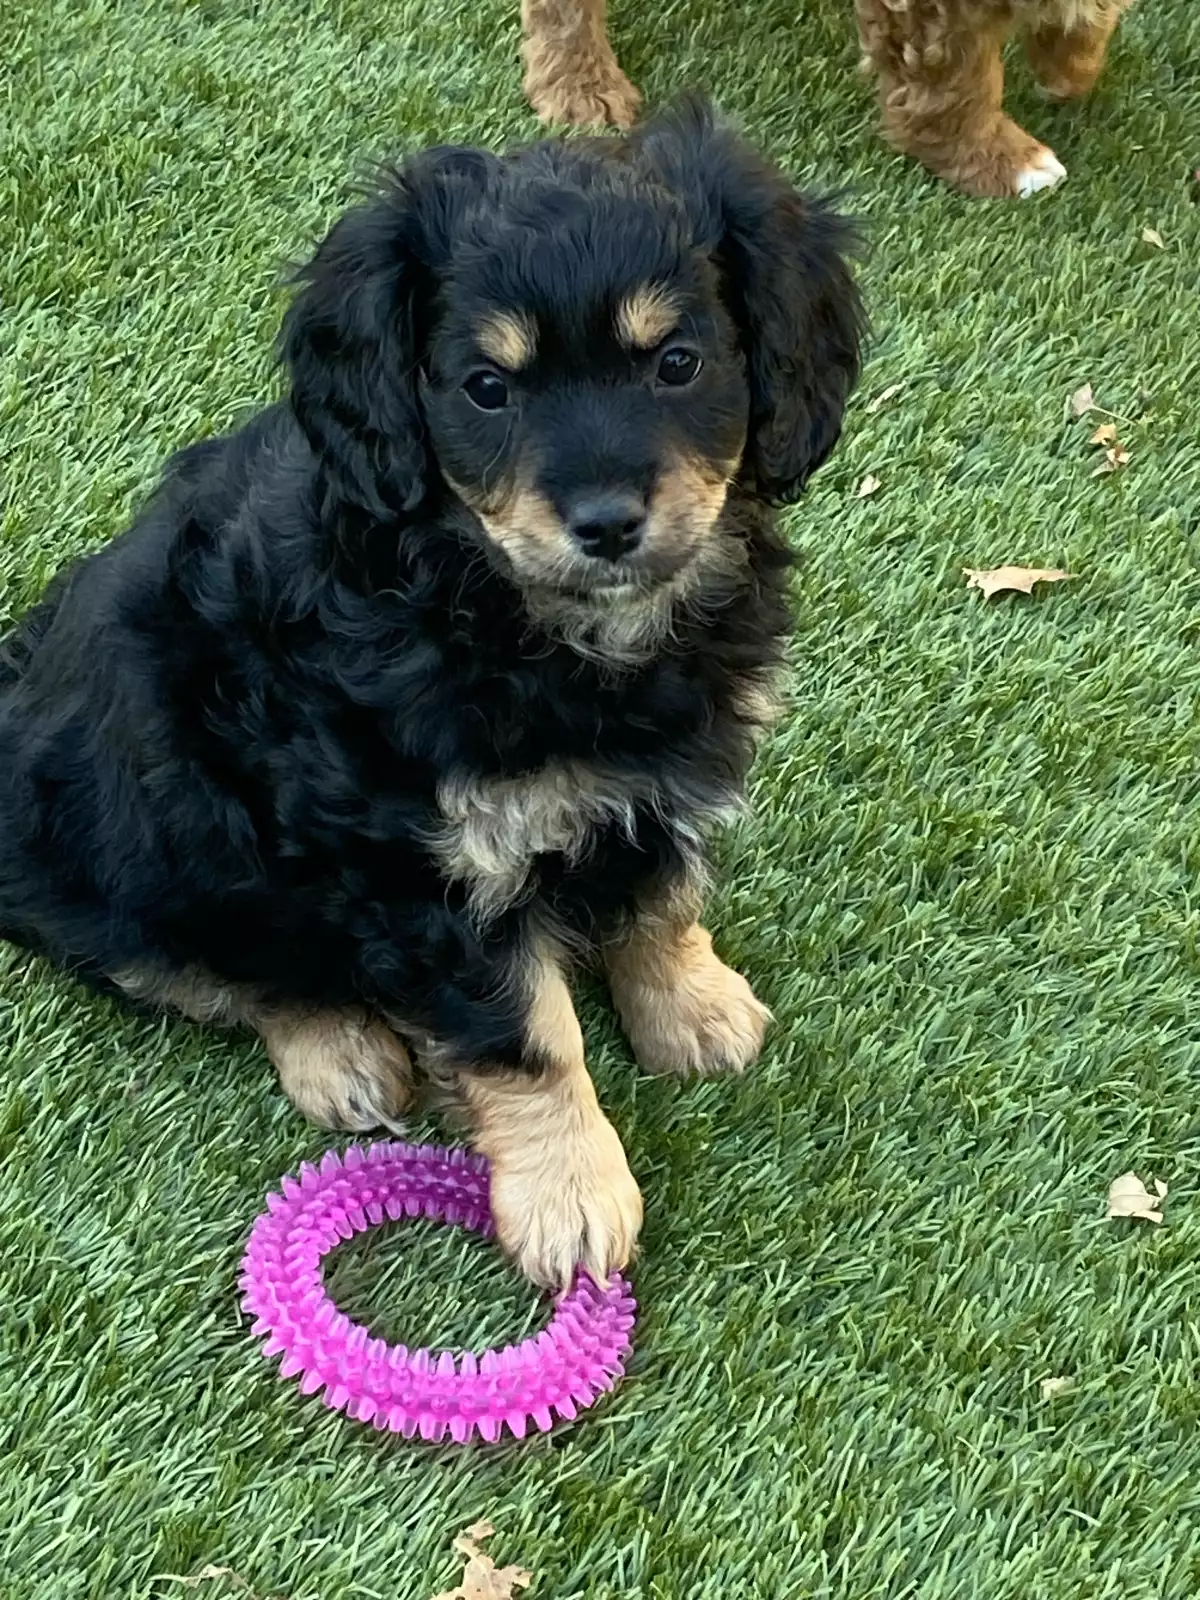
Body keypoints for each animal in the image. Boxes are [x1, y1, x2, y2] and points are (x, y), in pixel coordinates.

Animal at [0, 99, 863, 1290]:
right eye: (487, 388)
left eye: (679, 363)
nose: (607, 523)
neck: (514, 613)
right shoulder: (423, 861)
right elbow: (526, 1035)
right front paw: (571, 1195)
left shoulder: (674, 767)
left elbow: (664, 890)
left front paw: (690, 1006)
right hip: (143, 821)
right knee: (200, 963)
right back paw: (341, 1047)